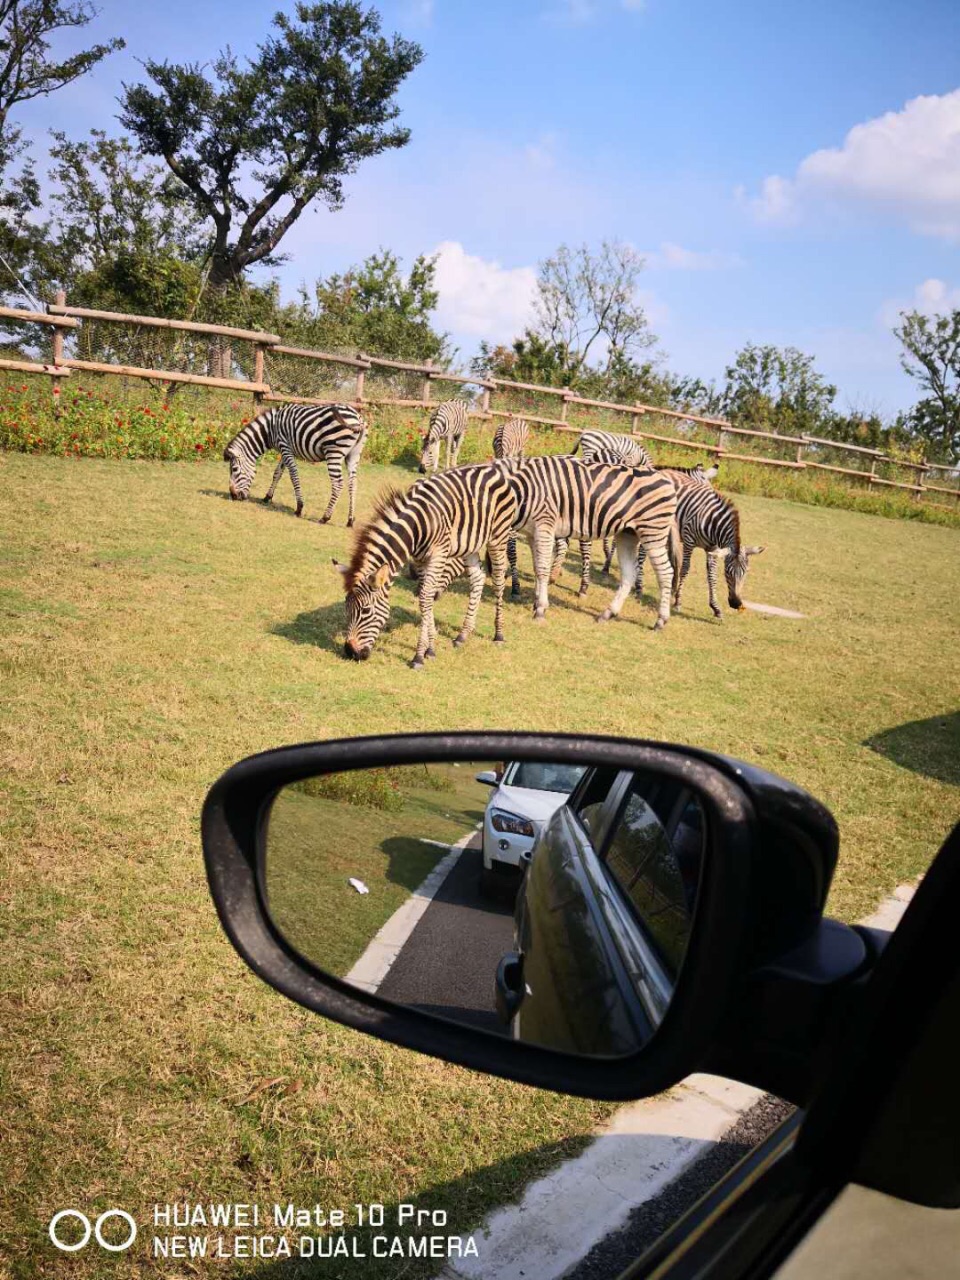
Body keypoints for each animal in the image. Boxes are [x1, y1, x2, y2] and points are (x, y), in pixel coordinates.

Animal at [224, 396, 371, 522]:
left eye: (234, 469)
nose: (233, 496)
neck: (270, 429)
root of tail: (358, 416)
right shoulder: (286, 450)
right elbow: (277, 473)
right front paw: (267, 497)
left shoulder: (285, 447)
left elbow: (293, 475)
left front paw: (299, 508)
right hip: (353, 455)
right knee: (353, 483)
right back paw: (350, 520)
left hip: (334, 452)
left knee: (338, 483)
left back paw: (325, 517)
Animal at [337, 468, 519, 670]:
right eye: (346, 607)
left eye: (366, 611)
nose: (350, 652)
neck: (415, 528)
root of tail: (492, 470)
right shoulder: (420, 559)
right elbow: (426, 597)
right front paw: (430, 649)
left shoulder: (438, 555)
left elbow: (425, 597)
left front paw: (418, 656)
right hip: (469, 544)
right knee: (478, 578)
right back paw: (463, 634)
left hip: (498, 536)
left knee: (498, 581)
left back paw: (499, 634)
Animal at [506, 458, 680, 632]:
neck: (526, 489)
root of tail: (667, 480)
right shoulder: (532, 533)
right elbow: (537, 568)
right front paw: (536, 603)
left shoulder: (544, 525)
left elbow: (542, 569)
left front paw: (541, 609)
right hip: (628, 534)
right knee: (629, 574)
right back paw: (608, 613)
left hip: (652, 531)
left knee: (666, 573)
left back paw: (660, 621)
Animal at [670, 481, 768, 616]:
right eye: (727, 572)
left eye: (746, 572)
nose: (736, 603)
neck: (711, 521)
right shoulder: (689, 541)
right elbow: (685, 569)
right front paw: (678, 603)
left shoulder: (713, 548)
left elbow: (712, 575)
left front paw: (715, 608)